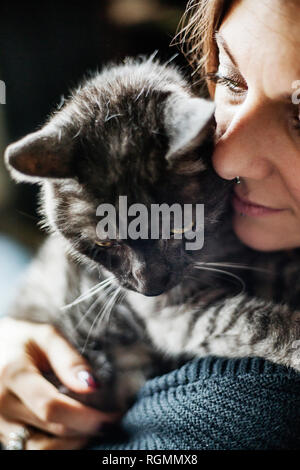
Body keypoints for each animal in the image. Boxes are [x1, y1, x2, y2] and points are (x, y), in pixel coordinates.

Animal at [4, 57, 300, 414]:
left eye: (180, 226)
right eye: (105, 241)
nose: (151, 287)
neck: (219, 245)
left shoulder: (252, 256)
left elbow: (284, 270)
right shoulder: (175, 314)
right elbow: (249, 322)